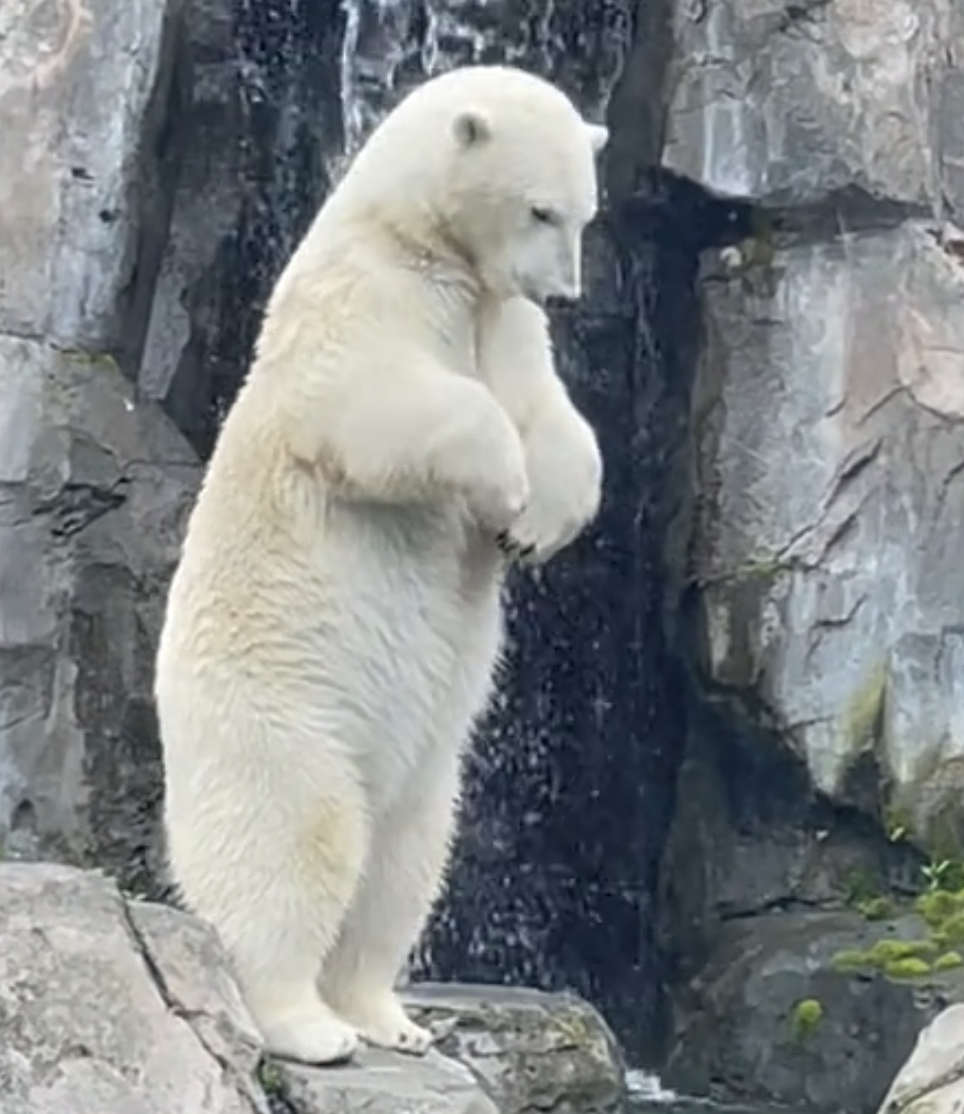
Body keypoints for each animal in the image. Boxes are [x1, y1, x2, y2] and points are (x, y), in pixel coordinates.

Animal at [153, 62, 607, 1069]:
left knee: (406, 860)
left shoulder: (501, 319)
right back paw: (309, 1026)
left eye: (587, 214)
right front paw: (504, 490)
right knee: (296, 844)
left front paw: (536, 525)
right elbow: (372, 403)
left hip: (427, 768)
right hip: (279, 712)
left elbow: (553, 413)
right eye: (541, 209)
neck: (416, 240)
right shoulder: (362, 296)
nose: (565, 296)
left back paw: (388, 1017)